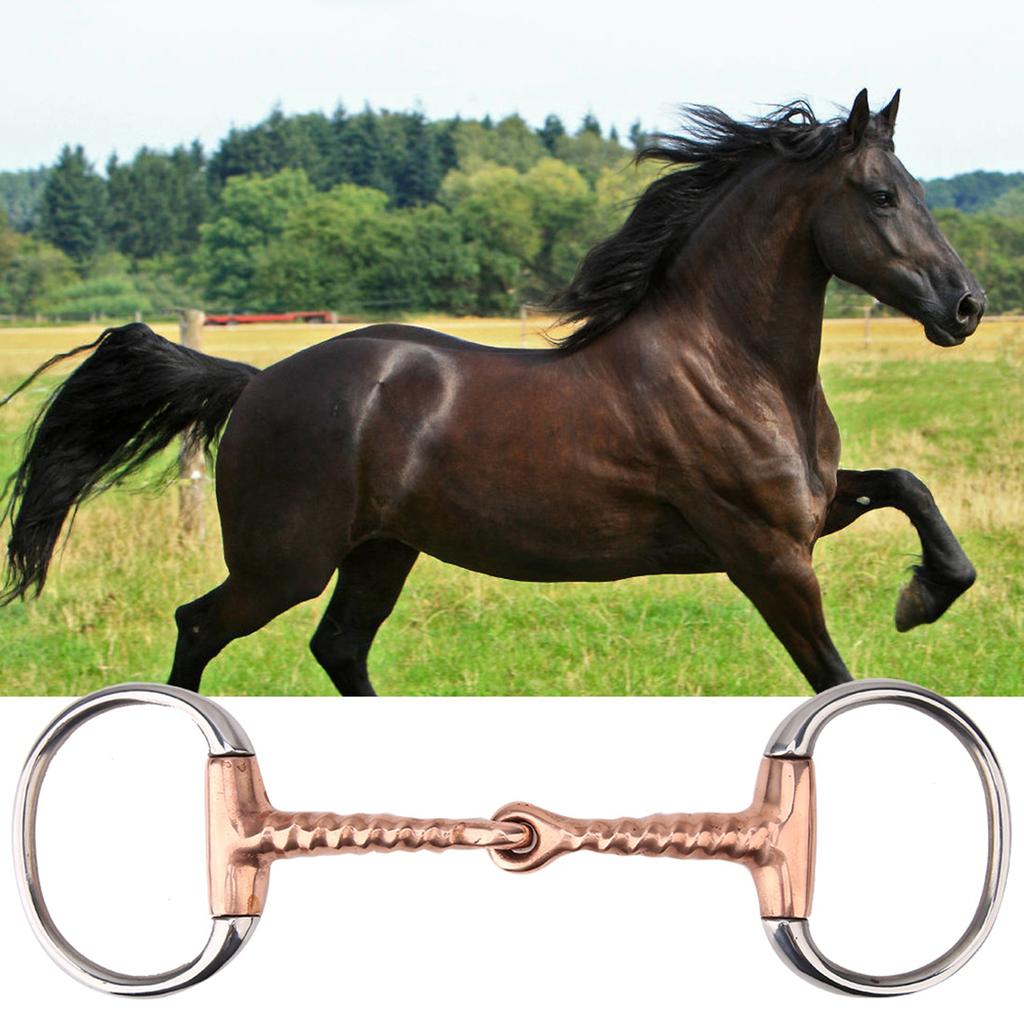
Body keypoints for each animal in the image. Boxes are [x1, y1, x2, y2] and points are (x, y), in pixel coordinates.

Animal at [1, 89, 984, 695]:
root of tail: (256, 382)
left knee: (337, 647)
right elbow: (833, 677)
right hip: (286, 563)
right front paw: (916, 604)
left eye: (918, 189)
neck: (730, 367)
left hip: (379, 552)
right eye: (880, 194)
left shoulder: (809, 514)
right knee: (200, 626)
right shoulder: (768, 554)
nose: (966, 306)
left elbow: (909, 489)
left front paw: (925, 594)